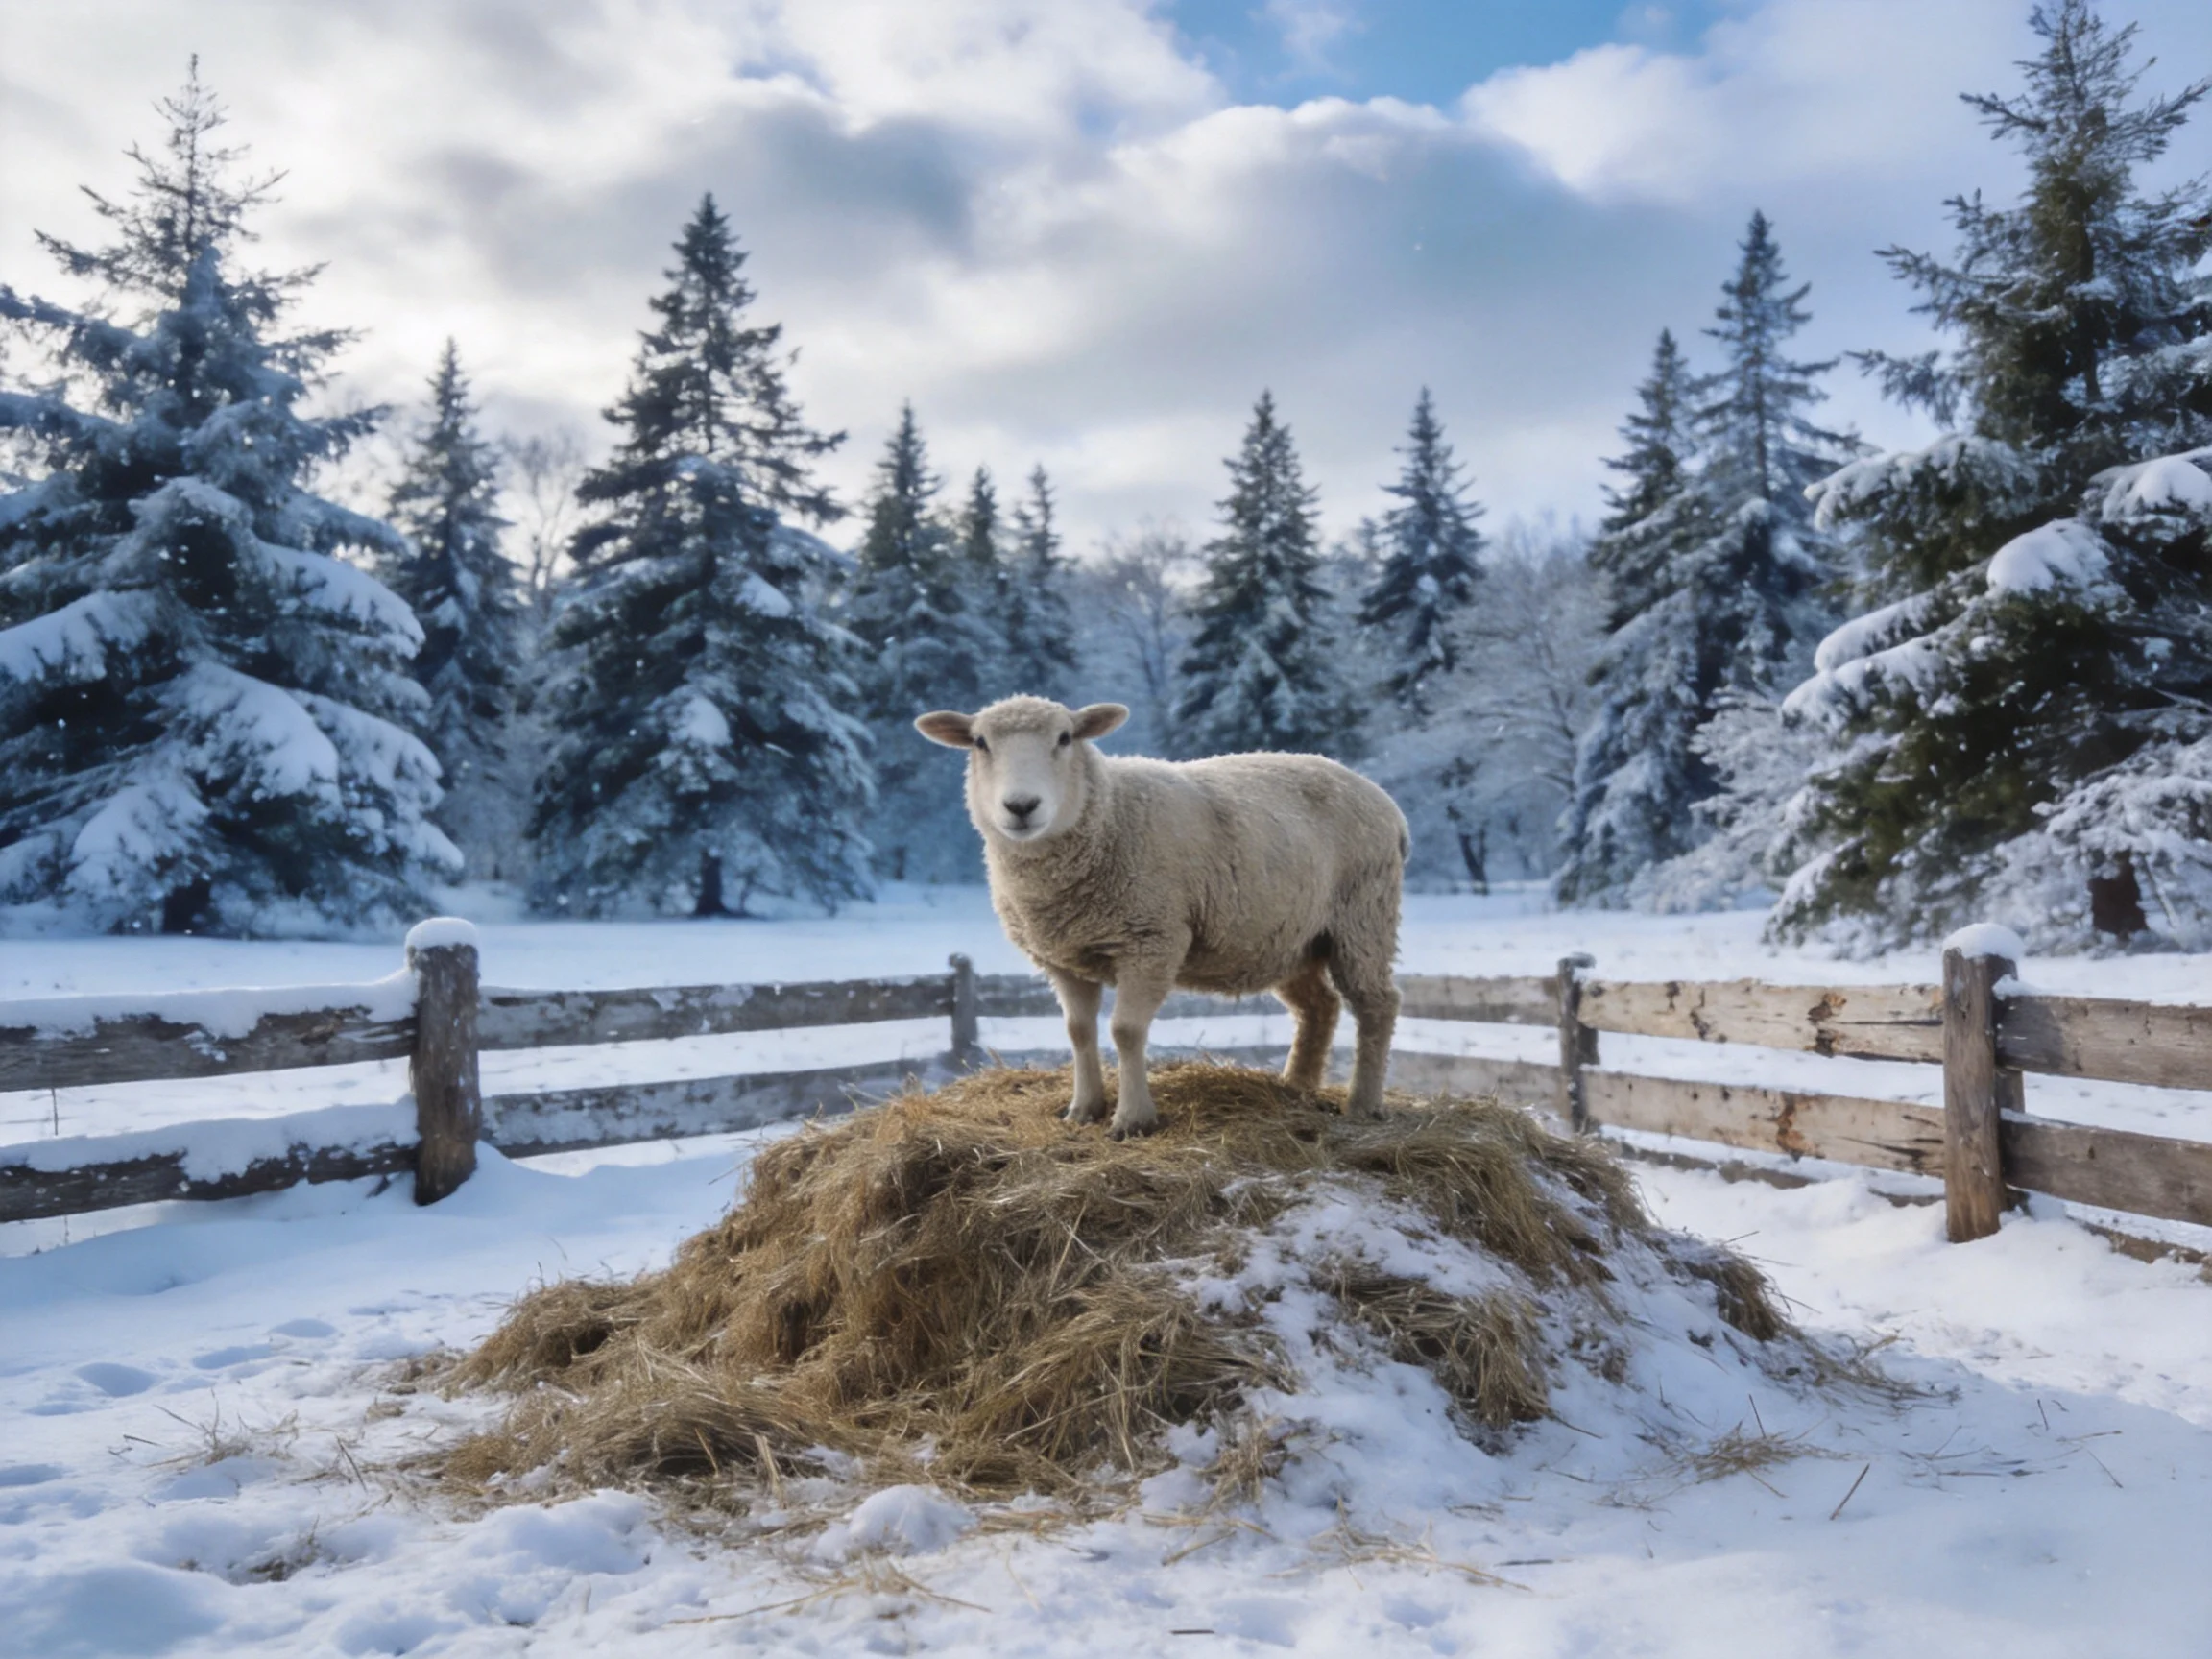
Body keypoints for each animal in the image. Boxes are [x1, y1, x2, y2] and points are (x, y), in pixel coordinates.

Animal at [915, 695, 1408, 1138]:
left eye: (1065, 737)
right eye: (980, 742)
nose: (1021, 806)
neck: (1108, 815)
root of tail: (1383, 799)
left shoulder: (1151, 940)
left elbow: (1126, 1031)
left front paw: (1133, 1119)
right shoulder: (1064, 957)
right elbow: (1078, 1031)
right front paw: (1084, 1109)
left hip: (1363, 917)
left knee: (1377, 1005)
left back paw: (1363, 1104)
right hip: (1291, 938)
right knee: (1318, 1007)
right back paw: (1295, 1087)